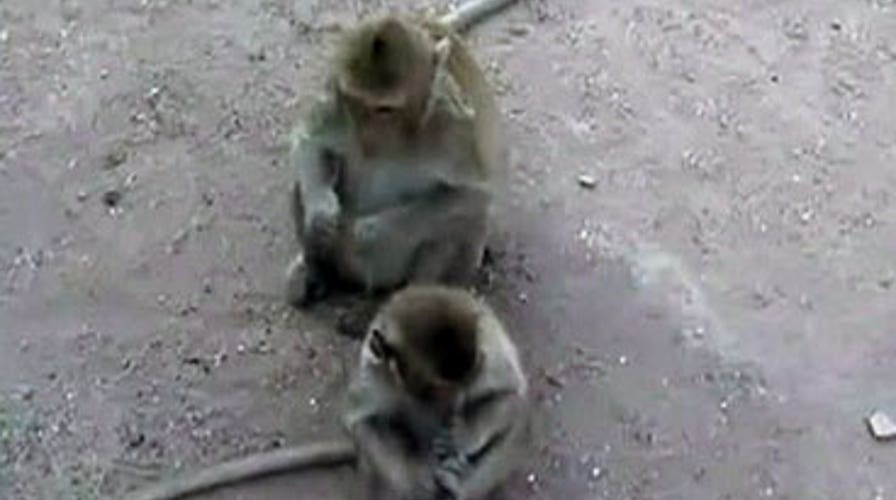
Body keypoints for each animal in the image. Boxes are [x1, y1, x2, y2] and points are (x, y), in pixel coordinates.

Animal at [126, 285, 530, 500]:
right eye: (429, 390)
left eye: (458, 391)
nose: (450, 410)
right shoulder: (374, 378)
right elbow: (363, 422)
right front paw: (416, 478)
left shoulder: (488, 352)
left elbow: (509, 396)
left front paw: (461, 438)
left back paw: (457, 485)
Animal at [285, 0, 518, 310]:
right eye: (353, 102)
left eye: (383, 109)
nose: (366, 136)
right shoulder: (334, 98)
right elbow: (312, 142)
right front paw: (322, 210)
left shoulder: (451, 129)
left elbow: (475, 193)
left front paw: (374, 231)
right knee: (301, 187)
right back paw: (316, 273)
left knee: (462, 224)